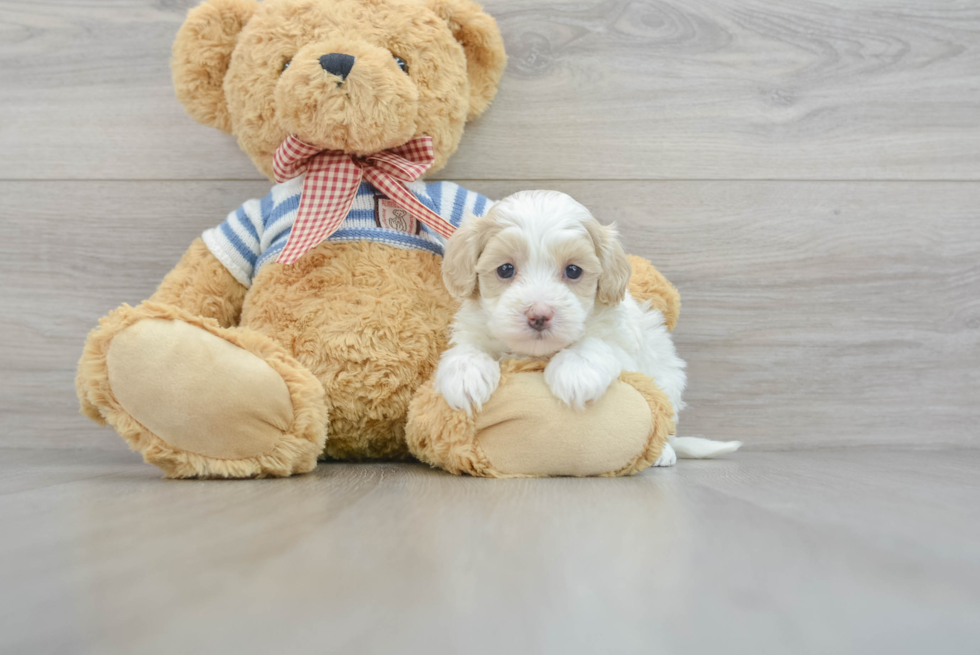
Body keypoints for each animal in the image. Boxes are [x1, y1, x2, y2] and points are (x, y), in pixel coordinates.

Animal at [436, 190, 744, 466]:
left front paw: (575, 372)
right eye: (505, 269)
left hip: (669, 379)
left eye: (573, 271)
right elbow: (468, 348)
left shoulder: (625, 349)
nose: (539, 314)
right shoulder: (474, 328)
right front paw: (465, 376)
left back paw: (663, 453)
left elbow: (597, 345)